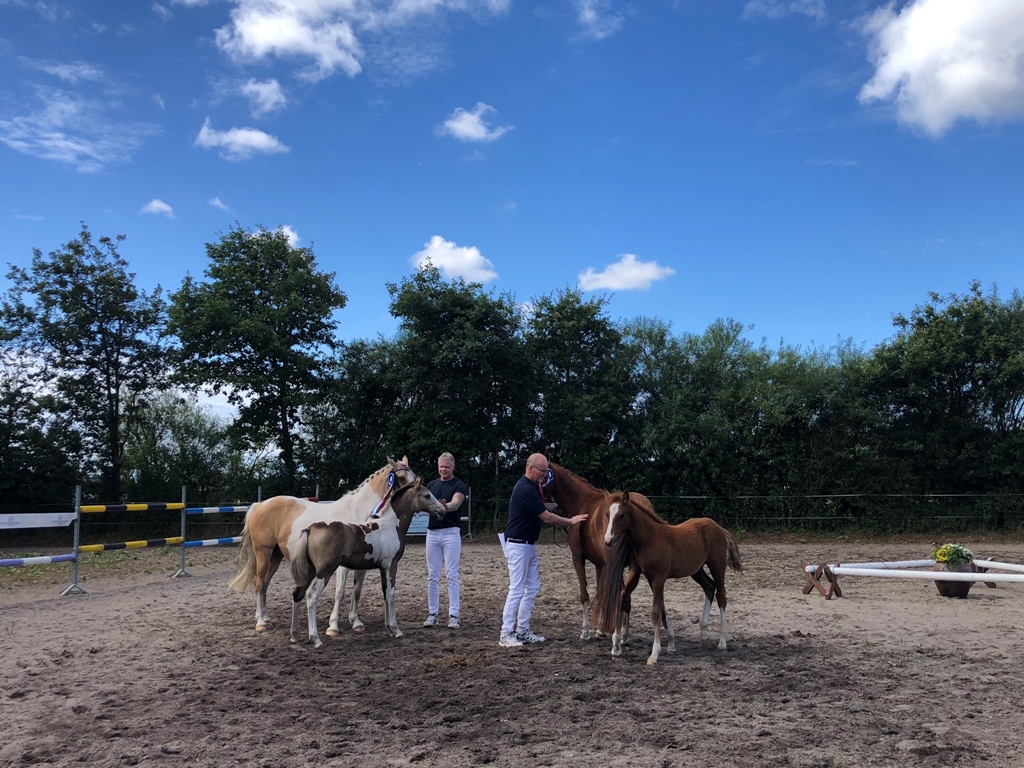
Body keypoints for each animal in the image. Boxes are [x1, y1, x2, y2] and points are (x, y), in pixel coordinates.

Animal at [228, 457, 416, 633]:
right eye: (401, 477)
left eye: (413, 476)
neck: (359, 514)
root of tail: (259, 505)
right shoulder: (342, 566)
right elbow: (340, 592)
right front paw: (333, 626)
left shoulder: (363, 564)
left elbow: (357, 591)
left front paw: (356, 622)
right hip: (263, 552)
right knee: (259, 582)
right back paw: (260, 622)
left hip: (276, 555)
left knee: (266, 583)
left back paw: (265, 617)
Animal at [289, 479, 445, 647]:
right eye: (427, 495)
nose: (443, 510)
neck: (391, 525)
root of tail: (311, 529)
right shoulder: (391, 565)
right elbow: (391, 594)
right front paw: (396, 630)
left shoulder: (383, 568)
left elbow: (385, 593)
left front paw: (389, 628)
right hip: (325, 571)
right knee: (311, 596)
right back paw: (316, 639)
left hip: (310, 571)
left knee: (297, 593)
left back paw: (295, 635)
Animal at [545, 463, 653, 642]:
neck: (583, 502)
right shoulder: (600, 564)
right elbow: (603, 595)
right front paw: (602, 629)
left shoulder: (578, 558)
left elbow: (585, 594)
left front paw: (586, 631)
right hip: (632, 567)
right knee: (626, 596)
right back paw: (624, 634)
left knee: (621, 594)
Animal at [595, 491, 743, 665]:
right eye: (607, 514)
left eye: (621, 515)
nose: (608, 540)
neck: (649, 539)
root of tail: (718, 527)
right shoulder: (640, 573)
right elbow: (628, 598)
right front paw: (616, 647)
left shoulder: (659, 578)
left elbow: (655, 612)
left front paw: (654, 654)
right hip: (696, 570)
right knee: (709, 587)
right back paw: (704, 635)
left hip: (717, 566)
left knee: (721, 596)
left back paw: (722, 642)